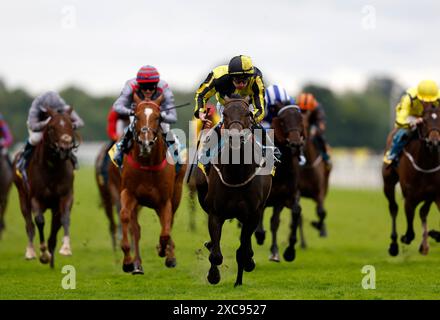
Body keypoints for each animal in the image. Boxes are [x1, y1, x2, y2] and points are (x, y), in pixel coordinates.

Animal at [12, 107, 80, 268]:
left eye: (71, 125)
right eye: (51, 127)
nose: (65, 147)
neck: (52, 168)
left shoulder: (65, 196)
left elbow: (64, 219)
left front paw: (65, 248)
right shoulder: (36, 198)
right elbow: (39, 221)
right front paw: (43, 254)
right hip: (22, 197)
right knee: (29, 225)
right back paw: (30, 252)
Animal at [118, 94, 186, 274]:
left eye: (158, 117)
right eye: (136, 116)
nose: (145, 143)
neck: (147, 163)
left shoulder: (164, 201)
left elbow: (165, 231)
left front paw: (164, 251)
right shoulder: (128, 193)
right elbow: (125, 216)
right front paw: (127, 262)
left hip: (176, 194)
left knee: (168, 223)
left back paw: (169, 255)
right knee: (136, 229)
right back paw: (137, 265)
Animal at [196, 96, 272, 286]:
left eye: (247, 114)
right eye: (224, 114)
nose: (236, 138)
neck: (237, 174)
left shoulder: (253, 214)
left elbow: (242, 250)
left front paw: (242, 273)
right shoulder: (215, 213)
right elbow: (216, 254)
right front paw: (213, 275)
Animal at [254, 104, 306, 262]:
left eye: (300, 119)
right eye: (283, 121)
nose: (295, 143)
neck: (282, 169)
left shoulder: (284, 198)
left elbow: (291, 214)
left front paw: (286, 251)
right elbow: (260, 220)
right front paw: (260, 236)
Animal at [382, 104, 440, 256]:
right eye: (424, 121)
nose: (435, 142)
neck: (426, 164)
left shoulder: (434, 194)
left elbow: (423, 212)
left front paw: (431, 236)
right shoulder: (410, 197)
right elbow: (409, 234)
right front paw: (404, 238)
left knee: (423, 213)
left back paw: (425, 244)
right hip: (388, 182)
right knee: (393, 208)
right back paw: (394, 245)